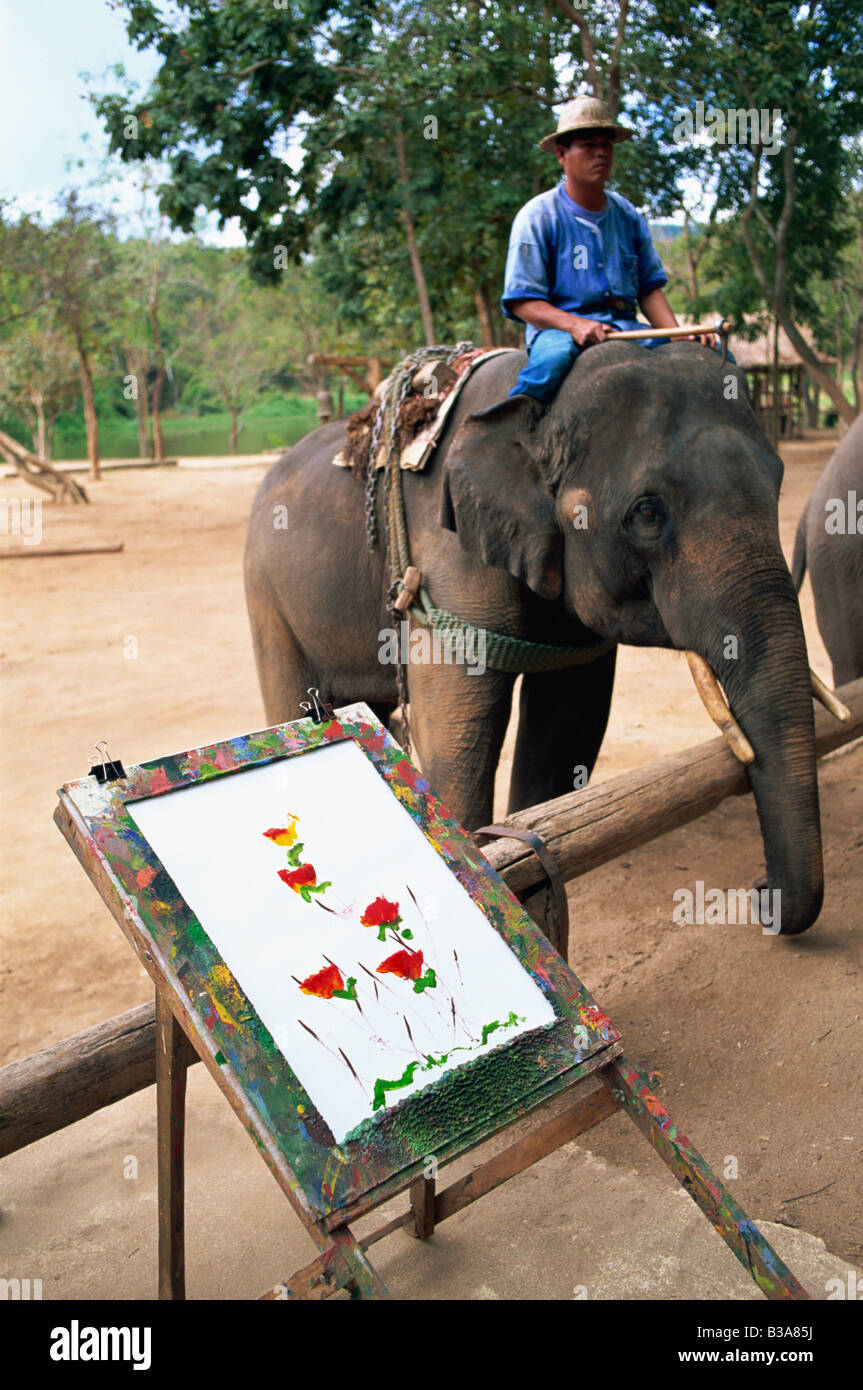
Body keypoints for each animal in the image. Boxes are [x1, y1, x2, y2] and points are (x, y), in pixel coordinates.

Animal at [245, 341, 825, 935]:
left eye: (778, 484)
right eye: (647, 512)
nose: (759, 891)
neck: (538, 405)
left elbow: (568, 717)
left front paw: (532, 849)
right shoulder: (443, 555)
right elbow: (457, 723)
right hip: (266, 593)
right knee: (296, 702)